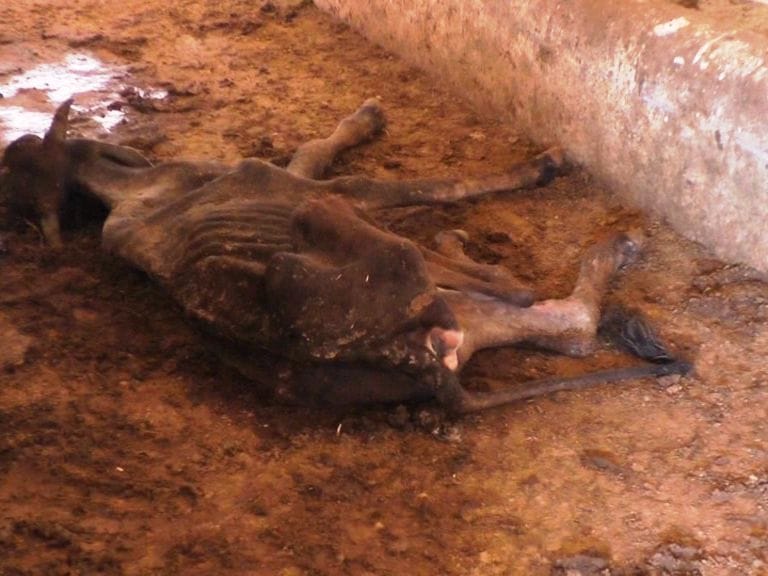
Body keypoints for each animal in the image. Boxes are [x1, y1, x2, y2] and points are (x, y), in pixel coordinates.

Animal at [0, 98, 690, 414]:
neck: (119, 192)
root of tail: (418, 366)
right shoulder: (306, 187)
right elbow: (423, 183)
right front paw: (540, 166)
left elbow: (314, 145)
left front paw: (362, 119)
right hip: (346, 229)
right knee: (519, 293)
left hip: (461, 321)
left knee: (566, 326)